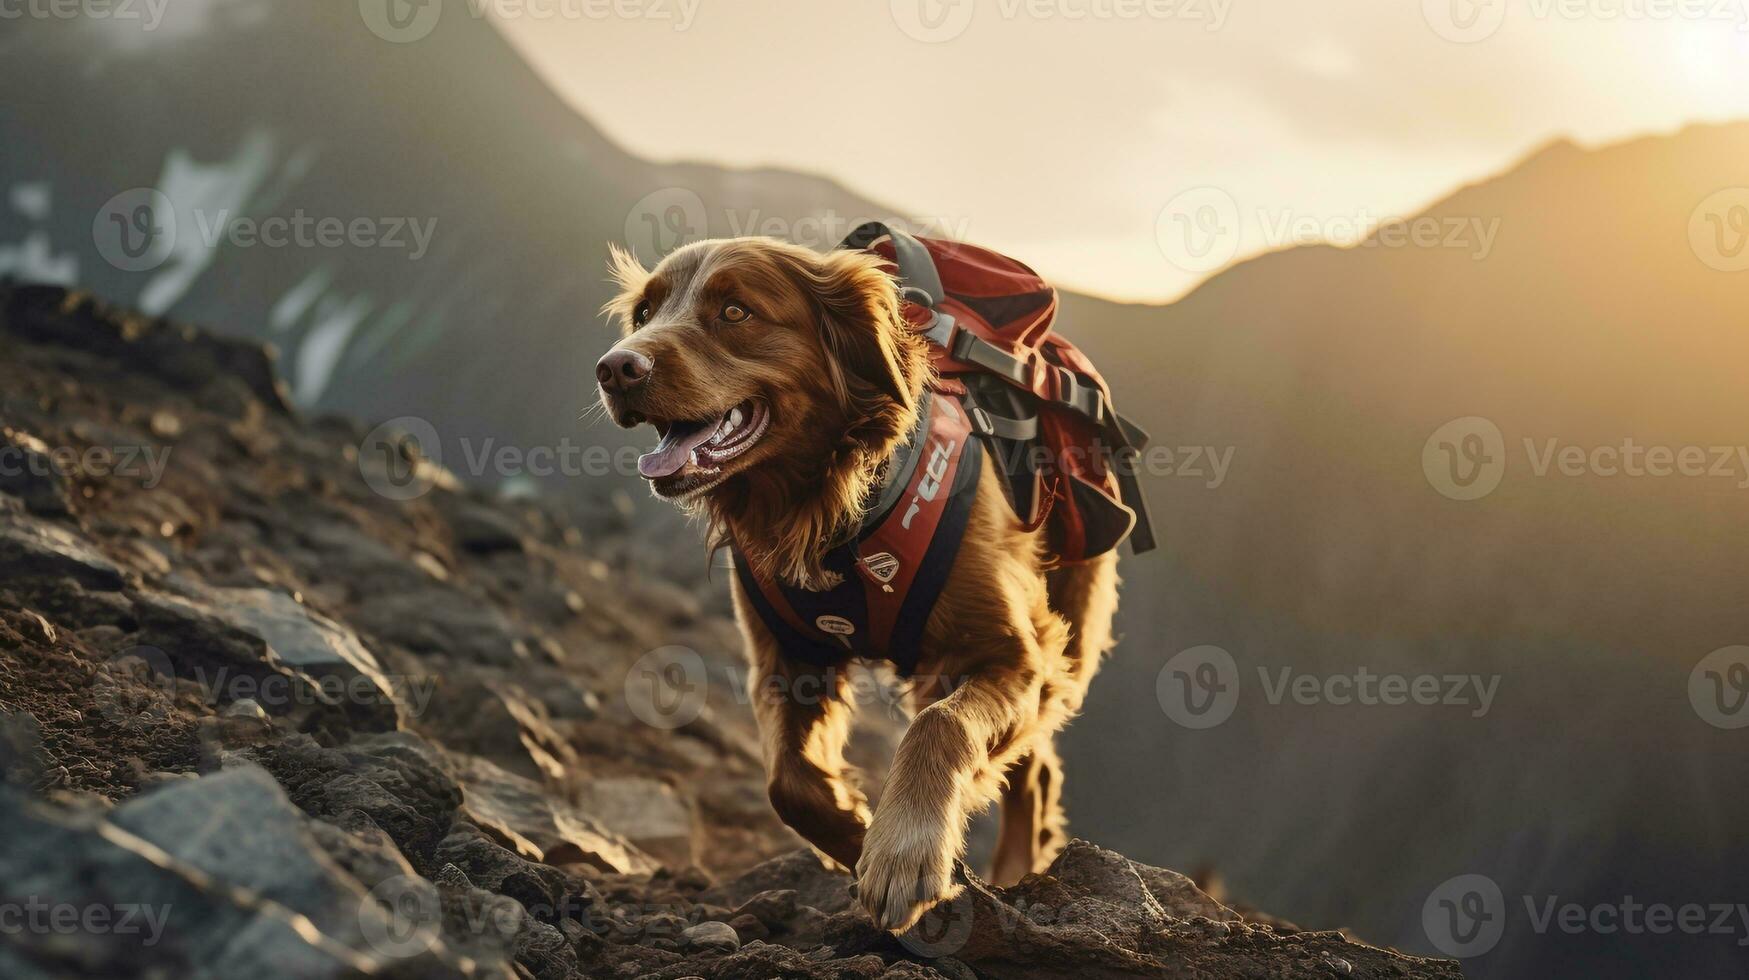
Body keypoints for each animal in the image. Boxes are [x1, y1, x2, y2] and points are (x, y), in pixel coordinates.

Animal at [598, 238, 1119, 931]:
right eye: (645, 312)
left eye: (735, 311)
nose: (614, 369)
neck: (824, 508)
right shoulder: (787, 659)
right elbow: (787, 783)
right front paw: (856, 831)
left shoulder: (1012, 654)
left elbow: (941, 726)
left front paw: (903, 851)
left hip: (1063, 636)